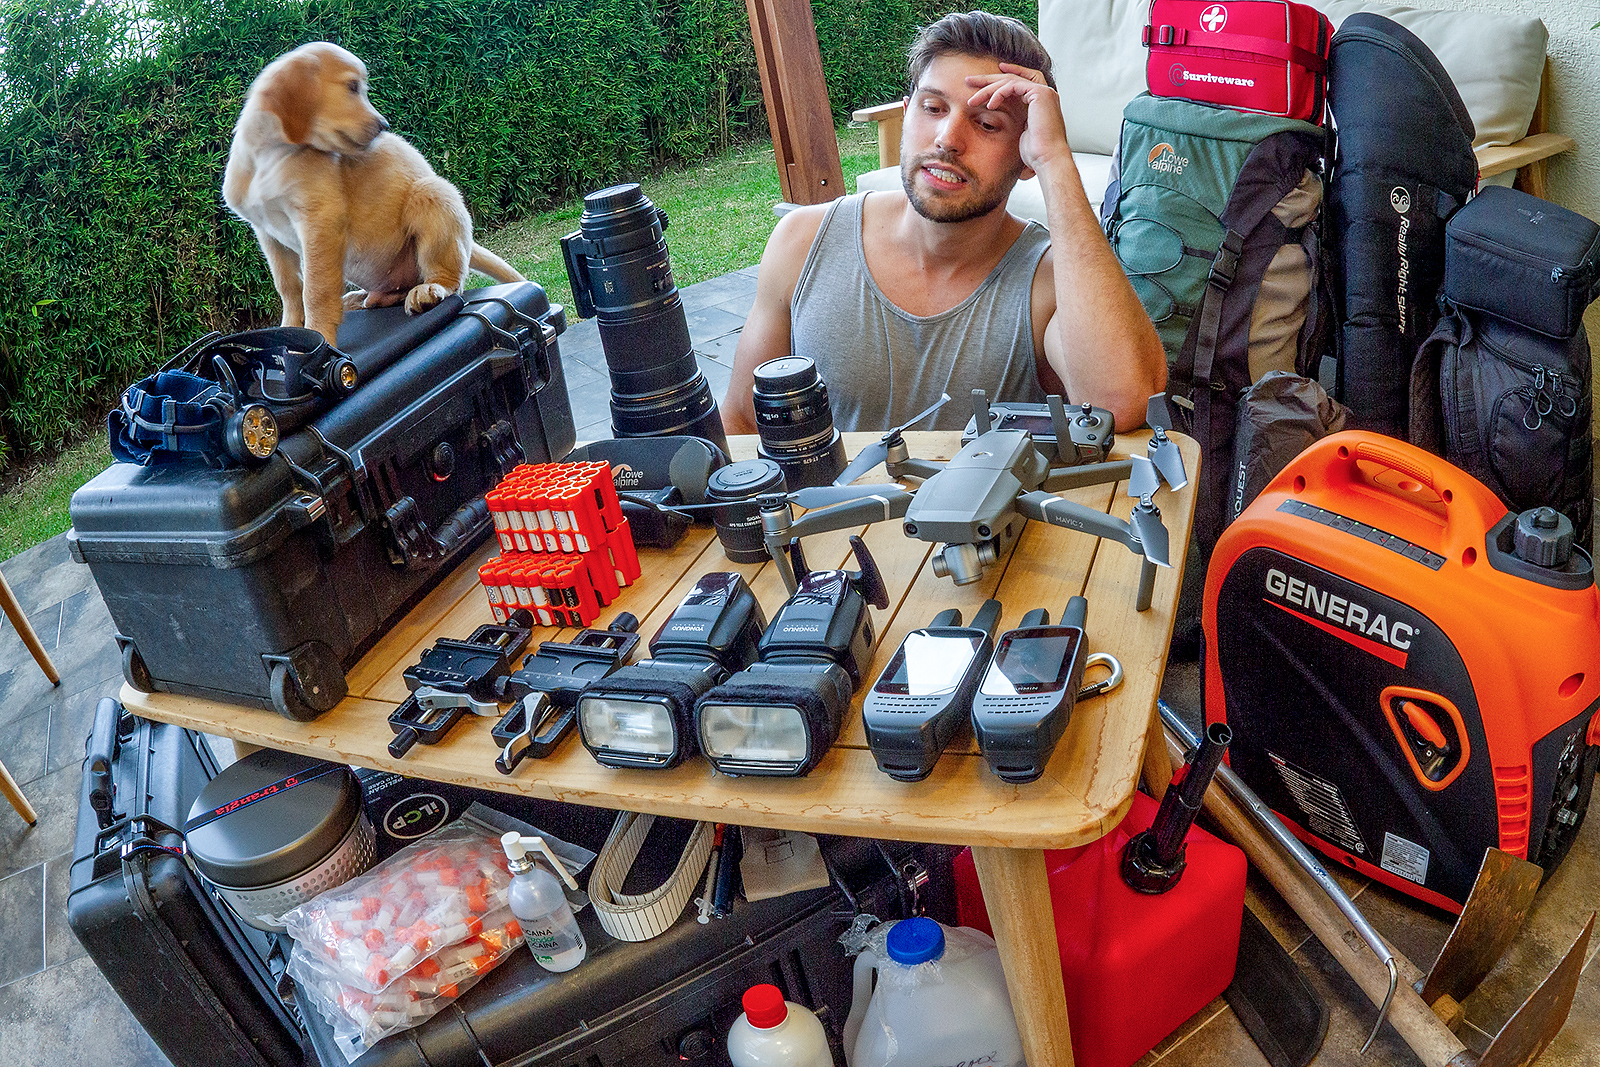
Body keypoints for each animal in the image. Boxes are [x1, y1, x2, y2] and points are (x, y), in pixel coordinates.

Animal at [224, 42, 524, 337]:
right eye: (352, 87)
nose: (384, 126)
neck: (267, 159)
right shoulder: (267, 233)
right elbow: (288, 287)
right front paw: (290, 328)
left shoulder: (320, 221)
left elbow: (316, 291)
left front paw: (319, 336)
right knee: (386, 295)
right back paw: (359, 299)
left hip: (431, 193)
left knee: (451, 279)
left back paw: (428, 291)